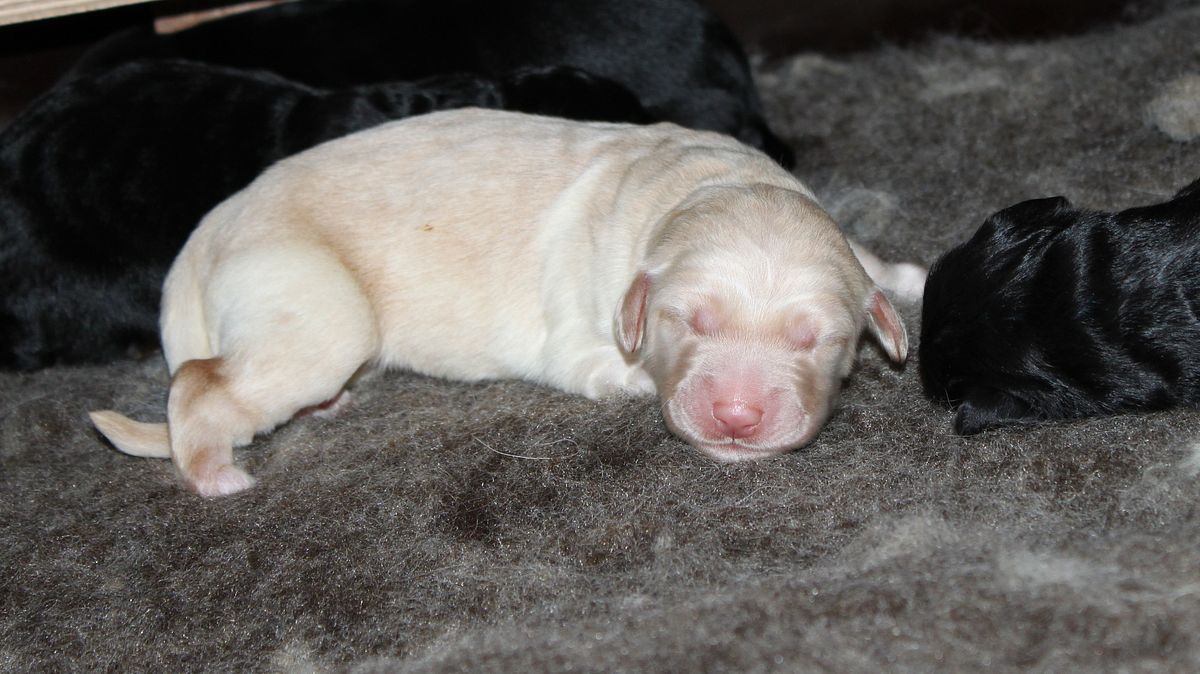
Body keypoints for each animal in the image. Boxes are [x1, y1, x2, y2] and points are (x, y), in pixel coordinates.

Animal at [90, 109, 919, 497]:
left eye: (816, 339)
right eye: (690, 321)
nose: (737, 417)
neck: (694, 186)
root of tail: (208, 232)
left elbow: (864, 261)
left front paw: (903, 276)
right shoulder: (579, 336)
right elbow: (609, 367)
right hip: (319, 310)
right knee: (199, 382)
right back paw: (213, 472)